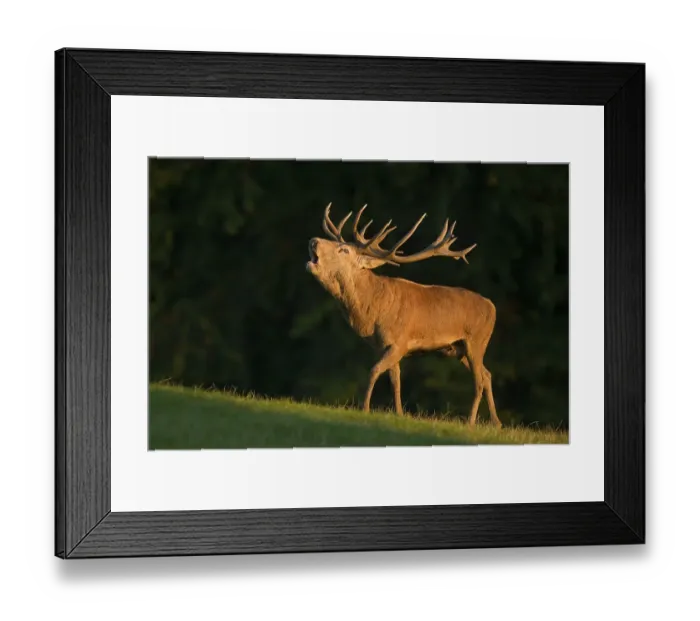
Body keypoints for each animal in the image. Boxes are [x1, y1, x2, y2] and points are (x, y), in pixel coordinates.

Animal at [306, 203, 503, 428]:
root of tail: (492, 307)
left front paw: (364, 408)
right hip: (458, 349)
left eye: (344, 250)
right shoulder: (386, 346)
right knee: (487, 375)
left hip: (476, 340)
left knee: (478, 380)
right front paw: (399, 413)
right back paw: (496, 422)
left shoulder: (399, 342)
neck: (373, 312)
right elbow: (395, 379)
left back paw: (470, 421)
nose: (313, 241)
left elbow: (374, 371)